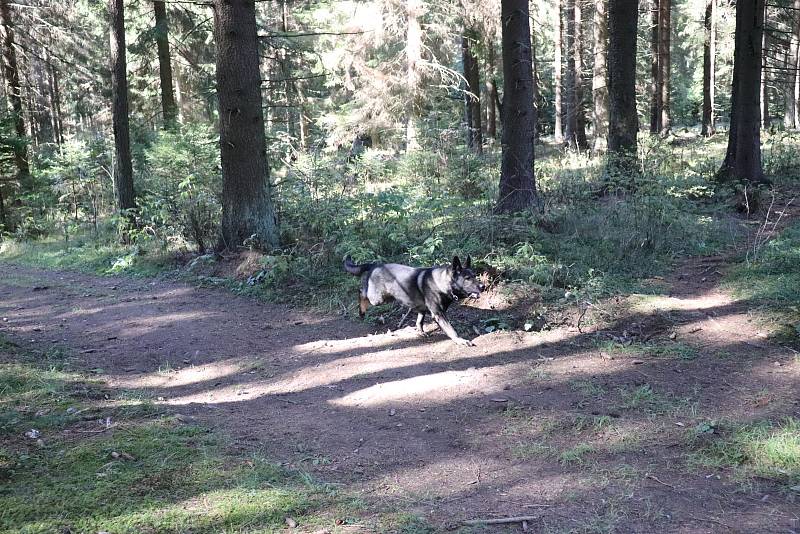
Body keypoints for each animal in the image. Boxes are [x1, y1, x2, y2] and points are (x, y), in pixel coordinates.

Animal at [342, 255, 484, 348]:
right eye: (467, 278)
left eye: (475, 276)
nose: (483, 286)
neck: (443, 283)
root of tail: (375, 264)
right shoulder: (439, 314)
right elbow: (451, 329)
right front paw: (460, 340)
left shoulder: (422, 309)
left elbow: (419, 321)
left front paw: (420, 332)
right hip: (378, 299)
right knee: (361, 293)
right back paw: (361, 311)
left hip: (387, 297)